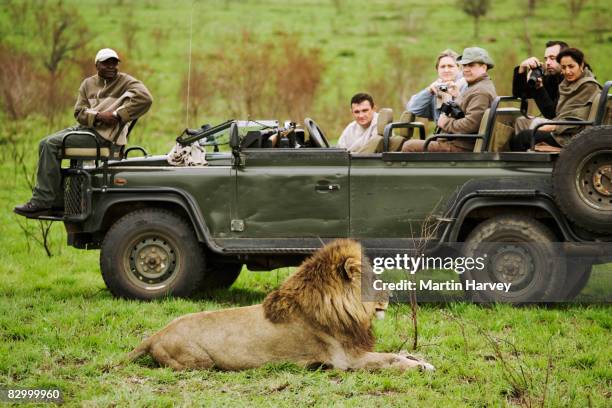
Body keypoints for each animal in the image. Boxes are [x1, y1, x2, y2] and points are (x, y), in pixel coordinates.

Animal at [128, 239, 436, 372]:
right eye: (373, 279)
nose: (391, 294)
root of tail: (155, 335)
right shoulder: (346, 360)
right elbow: (389, 359)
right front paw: (420, 367)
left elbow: (397, 352)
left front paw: (420, 358)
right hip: (199, 361)